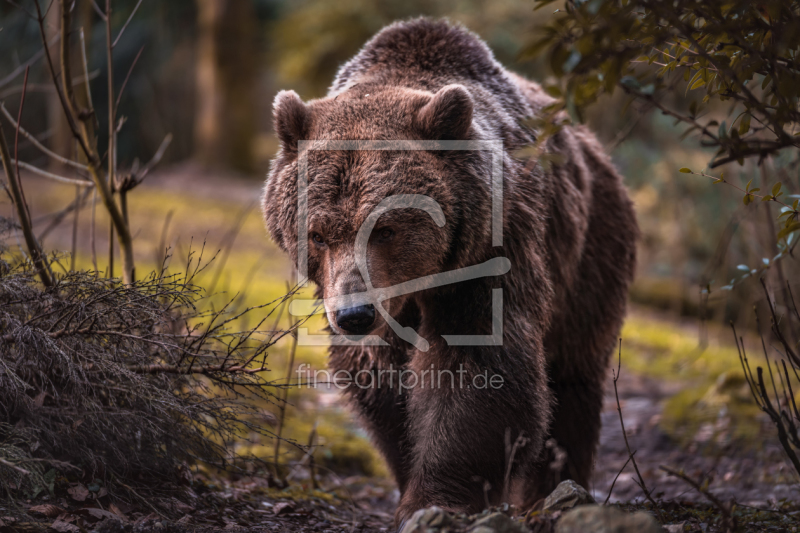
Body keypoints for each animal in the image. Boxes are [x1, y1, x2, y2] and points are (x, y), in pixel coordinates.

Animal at [262, 17, 636, 528]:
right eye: (318, 234)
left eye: (386, 227)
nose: (355, 314)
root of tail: (596, 151)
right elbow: (380, 383)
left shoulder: (492, 250)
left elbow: (476, 371)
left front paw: (436, 500)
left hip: (591, 250)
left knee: (573, 375)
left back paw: (549, 492)